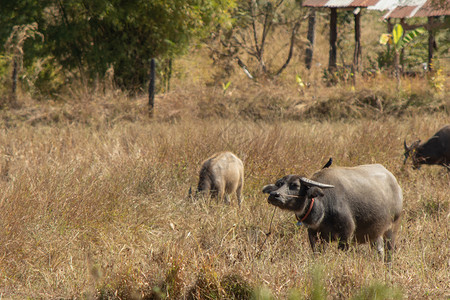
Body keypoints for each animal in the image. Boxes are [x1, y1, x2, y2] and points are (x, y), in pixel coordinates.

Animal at [262, 163, 402, 262]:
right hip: (375, 233)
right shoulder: (315, 235)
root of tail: (395, 183)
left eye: (295, 185)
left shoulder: (346, 234)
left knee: (389, 253)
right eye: (279, 184)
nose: (274, 195)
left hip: (392, 229)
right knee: (379, 251)